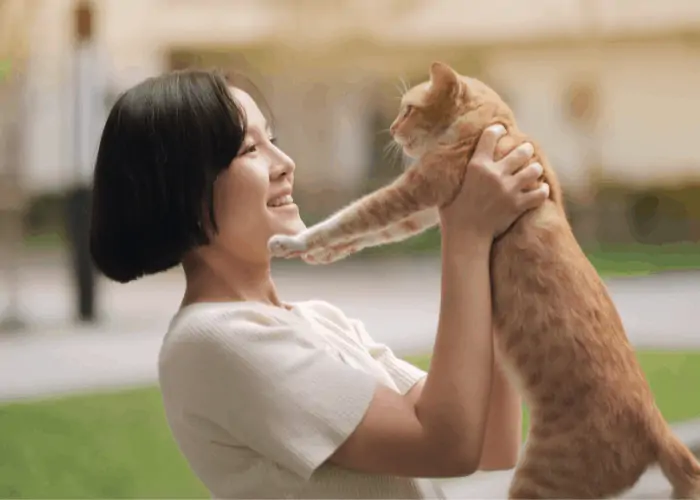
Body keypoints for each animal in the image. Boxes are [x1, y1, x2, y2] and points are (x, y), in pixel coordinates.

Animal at [270, 60, 700, 498]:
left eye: (408, 109)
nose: (390, 128)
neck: (497, 124)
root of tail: (660, 429)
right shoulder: (424, 212)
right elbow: (368, 233)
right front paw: (321, 253)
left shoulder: (416, 191)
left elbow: (353, 216)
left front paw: (293, 240)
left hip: (539, 479)